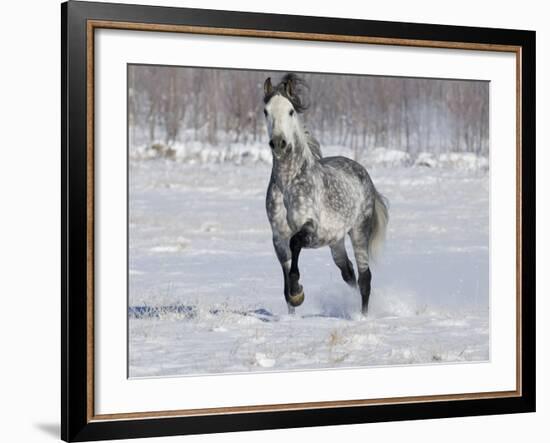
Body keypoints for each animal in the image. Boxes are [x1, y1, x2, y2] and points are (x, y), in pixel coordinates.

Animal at [262, 73, 388, 316]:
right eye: (266, 111)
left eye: (290, 111)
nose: (279, 143)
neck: (287, 185)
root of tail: (363, 173)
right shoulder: (278, 237)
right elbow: (285, 276)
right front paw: (293, 304)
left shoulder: (310, 229)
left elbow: (295, 244)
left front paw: (298, 291)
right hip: (336, 242)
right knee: (348, 273)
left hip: (358, 232)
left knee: (364, 278)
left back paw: (362, 316)